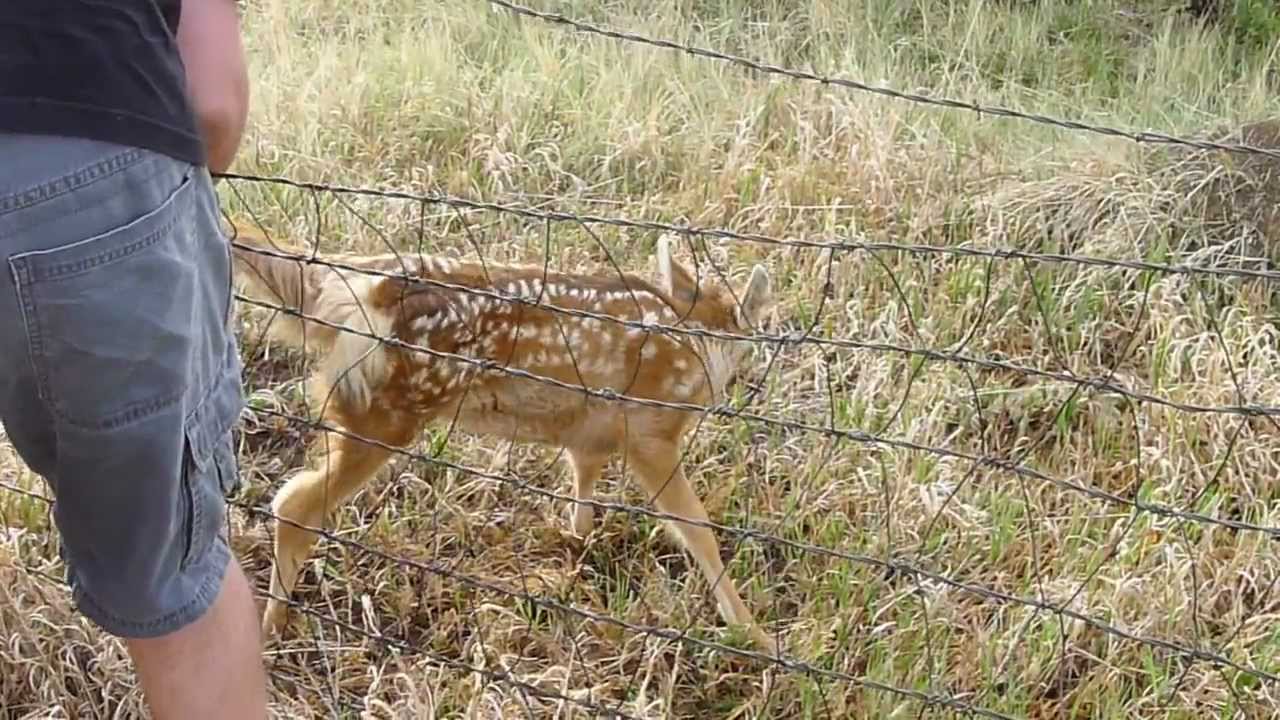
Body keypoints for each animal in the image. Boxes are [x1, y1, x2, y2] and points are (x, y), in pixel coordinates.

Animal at [225, 218, 780, 655]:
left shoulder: (592, 431)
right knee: (294, 504)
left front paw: (576, 550)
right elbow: (698, 528)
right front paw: (753, 634)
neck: (699, 345)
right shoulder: (650, 428)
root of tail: (349, 285)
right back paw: (273, 626)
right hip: (386, 412)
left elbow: (583, 487)